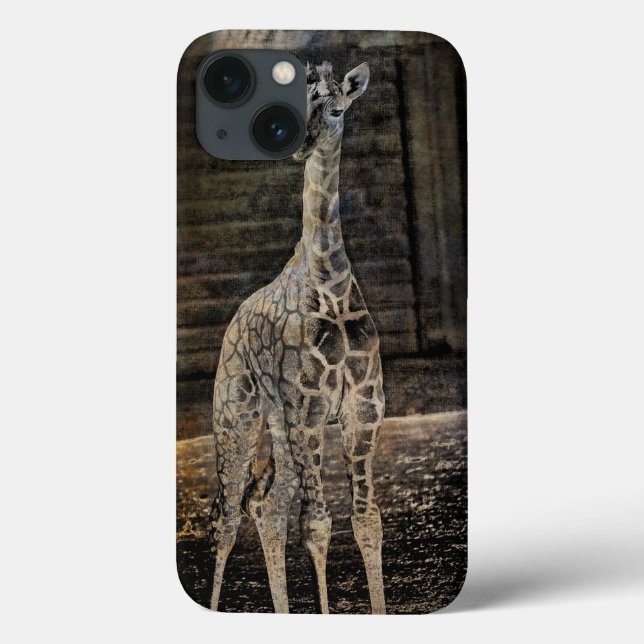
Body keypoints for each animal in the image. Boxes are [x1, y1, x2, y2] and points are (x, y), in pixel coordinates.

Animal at [209, 60, 386, 614]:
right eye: (292, 108)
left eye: (336, 109)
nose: (300, 147)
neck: (331, 282)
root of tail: (233, 322)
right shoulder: (309, 412)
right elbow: (318, 525)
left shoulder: (363, 410)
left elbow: (366, 522)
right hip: (237, 415)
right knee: (226, 514)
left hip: (279, 426)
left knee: (266, 504)